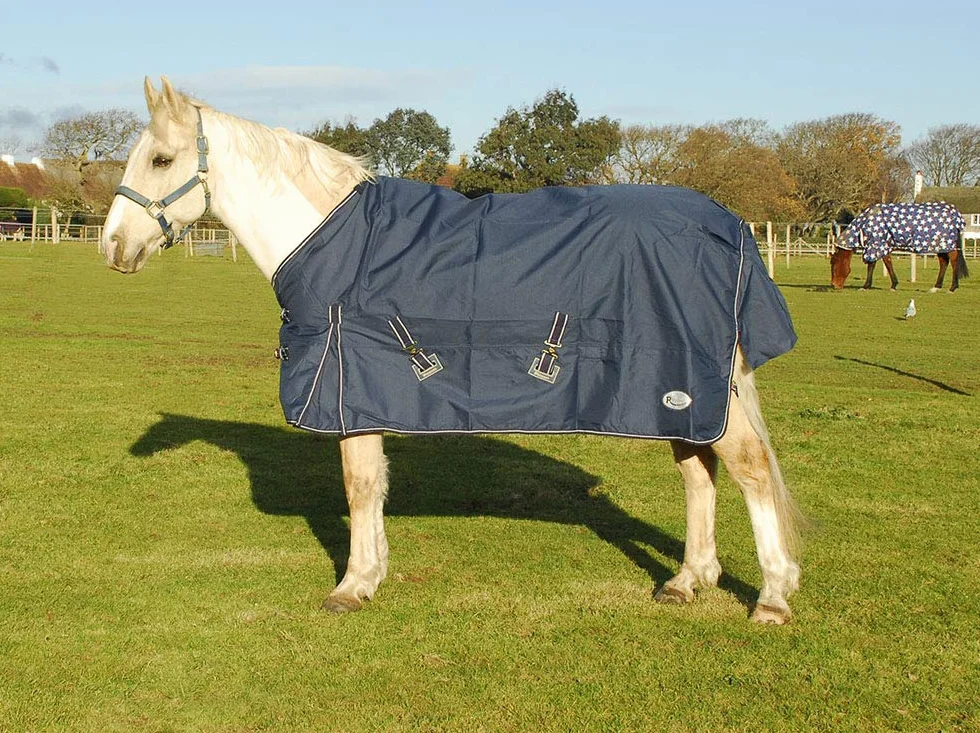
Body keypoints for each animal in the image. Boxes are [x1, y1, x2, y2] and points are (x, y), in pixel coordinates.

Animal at [102, 77, 803, 624]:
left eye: (161, 160)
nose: (112, 246)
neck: (336, 244)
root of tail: (730, 225)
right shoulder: (365, 397)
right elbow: (373, 485)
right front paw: (372, 574)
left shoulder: (349, 388)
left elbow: (358, 486)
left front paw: (351, 586)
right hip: (677, 392)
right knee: (698, 471)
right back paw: (688, 580)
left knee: (748, 469)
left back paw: (772, 596)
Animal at [830, 202, 969, 292]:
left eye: (834, 265)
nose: (834, 285)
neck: (866, 224)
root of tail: (954, 213)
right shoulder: (881, 246)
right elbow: (885, 263)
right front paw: (892, 284)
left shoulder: (876, 244)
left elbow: (875, 264)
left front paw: (867, 286)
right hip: (940, 246)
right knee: (943, 263)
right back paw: (936, 287)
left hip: (947, 246)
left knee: (954, 261)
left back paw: (953, 287)